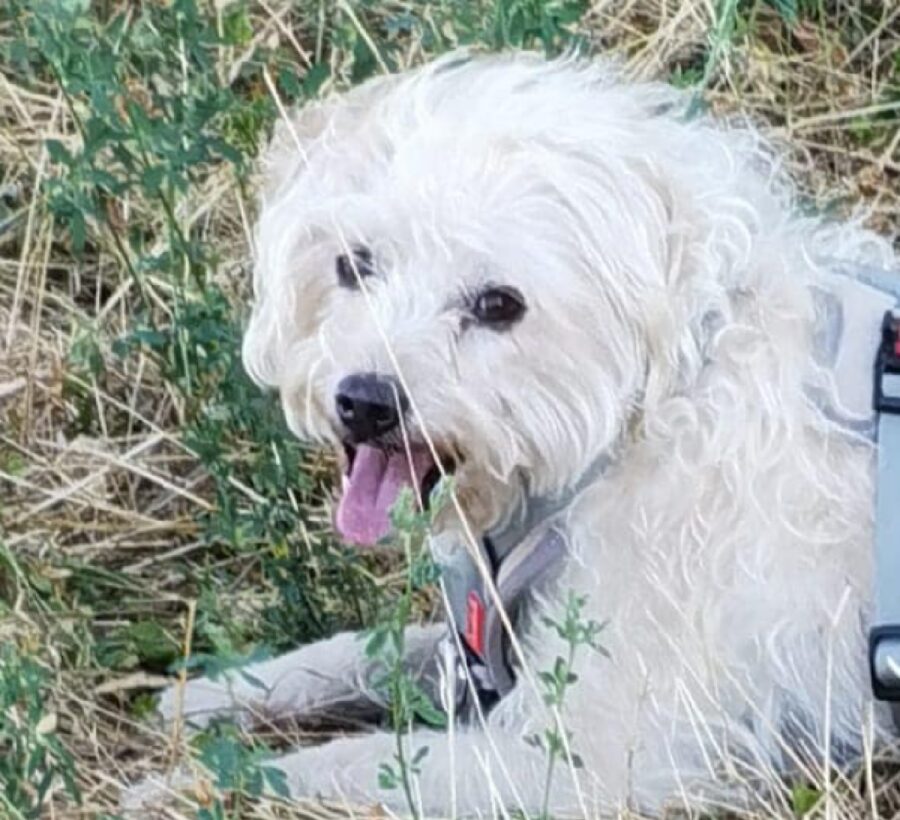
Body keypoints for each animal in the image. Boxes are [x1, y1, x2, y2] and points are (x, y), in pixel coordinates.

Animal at [130, 54, 896, 816]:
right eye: (354, 264)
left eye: (499, 305)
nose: (365, 402)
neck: (639, 421)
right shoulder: (479, 648)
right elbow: (362, 653)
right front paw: (219, 693)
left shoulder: (576, 764)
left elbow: (341, 766)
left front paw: (184, 787)